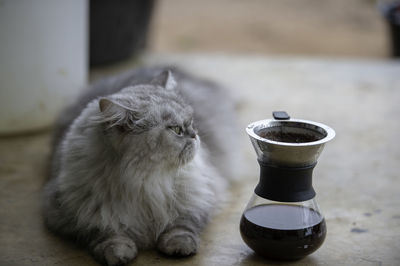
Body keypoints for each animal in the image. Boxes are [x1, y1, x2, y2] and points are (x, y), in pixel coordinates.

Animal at [42, 67, 239, 264]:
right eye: (176, 130)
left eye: (192, 122)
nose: (195, 135)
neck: (145, 186)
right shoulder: (71, 214)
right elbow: (105, 233)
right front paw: (117, 253)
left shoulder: (199, 197)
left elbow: (182, 226)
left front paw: (179, 247)